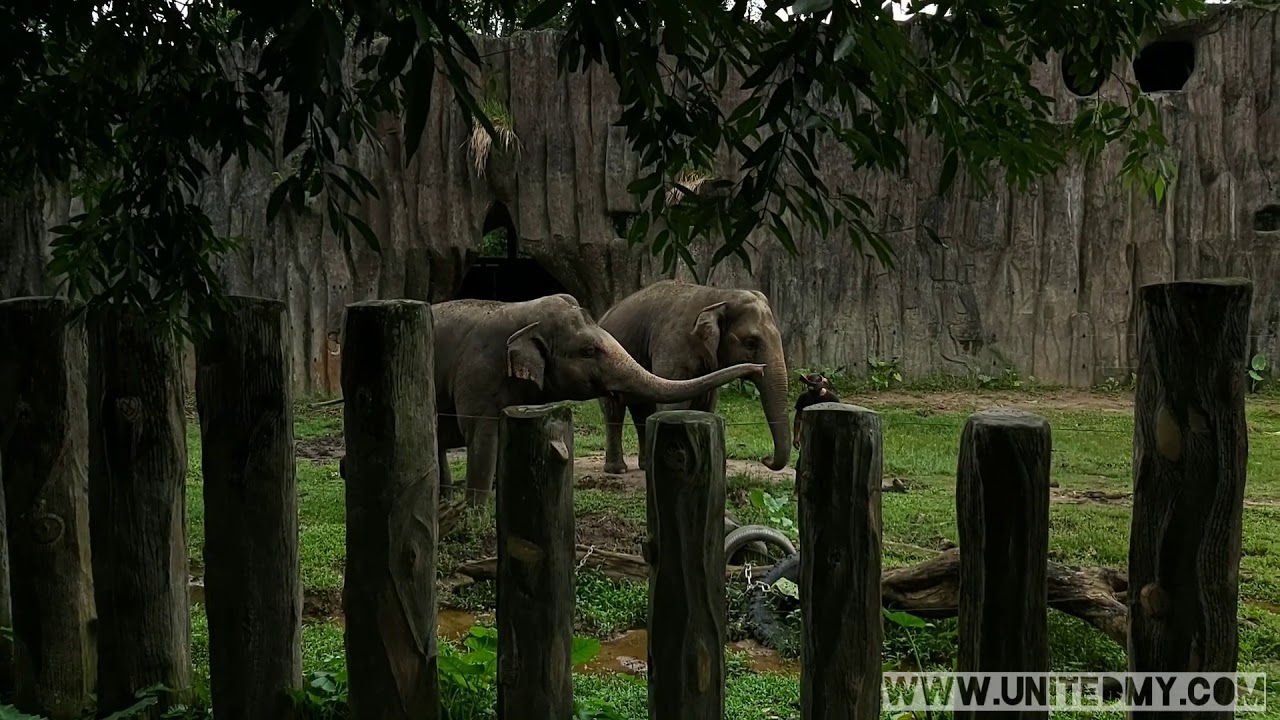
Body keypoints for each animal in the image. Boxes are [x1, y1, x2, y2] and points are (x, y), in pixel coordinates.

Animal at [431, 293, 767, 506]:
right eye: (589, 351)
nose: (759, 367)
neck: (520, 311)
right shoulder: (479, 373)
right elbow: (481, 434)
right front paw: (476, 511)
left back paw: (444, 500)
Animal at [597, 280, 791, 475]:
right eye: (751, 343)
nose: (765, 458)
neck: (720, 296)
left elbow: (706, 404)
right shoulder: (673, 346)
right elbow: (673, 405)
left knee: (641, 410)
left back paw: (644, 466)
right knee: (613, 411)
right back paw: (617, 470)